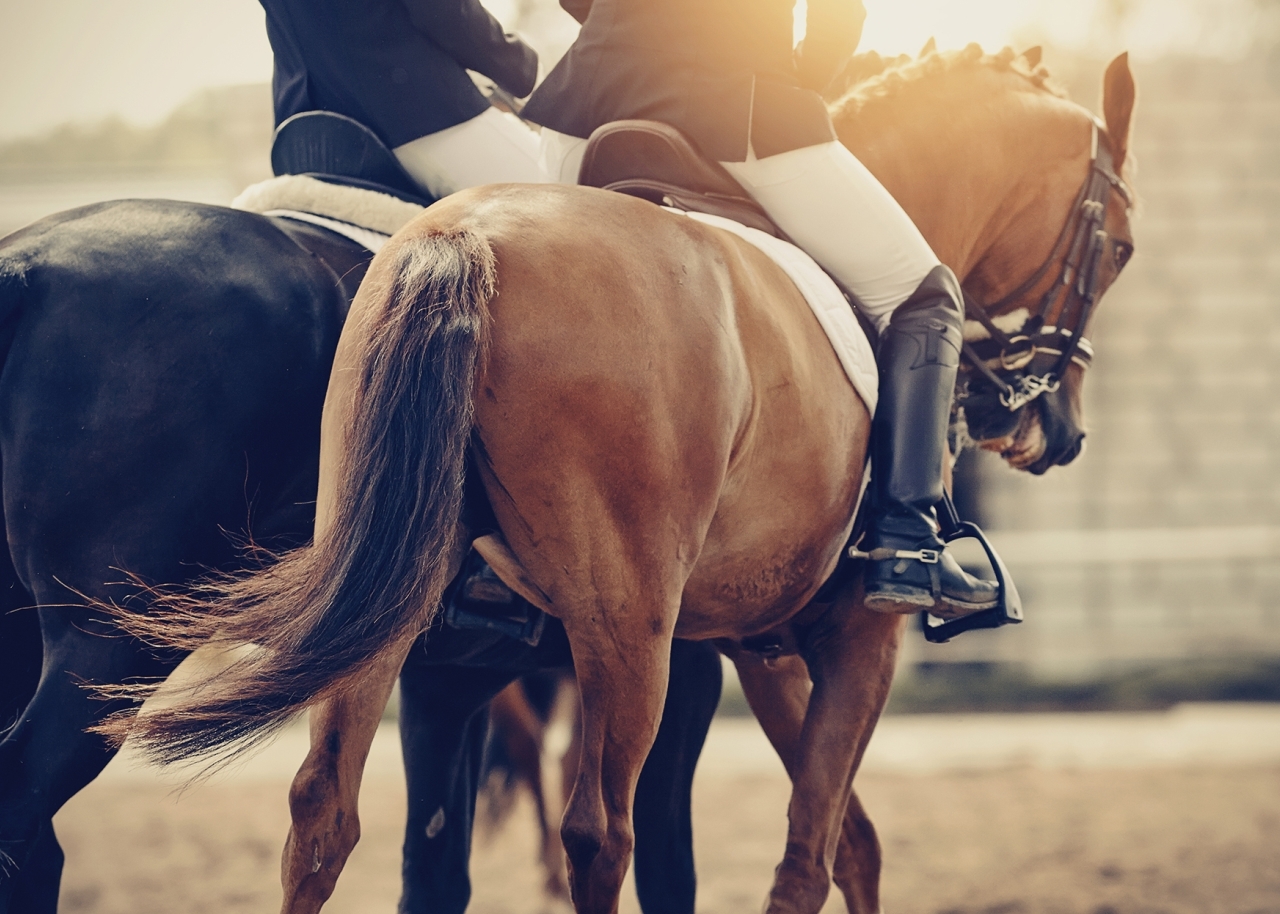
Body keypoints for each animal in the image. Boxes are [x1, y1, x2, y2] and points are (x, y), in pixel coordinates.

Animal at [117, 49, 1141, 911]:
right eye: (1124, 248)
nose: (1056, 430)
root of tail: (468, 235)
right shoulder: (857, 635)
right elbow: (810, 856)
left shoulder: (760, 647)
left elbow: (844, 841)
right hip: (625, 627)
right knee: (598, 834)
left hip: (391, 599)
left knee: (322, 813)